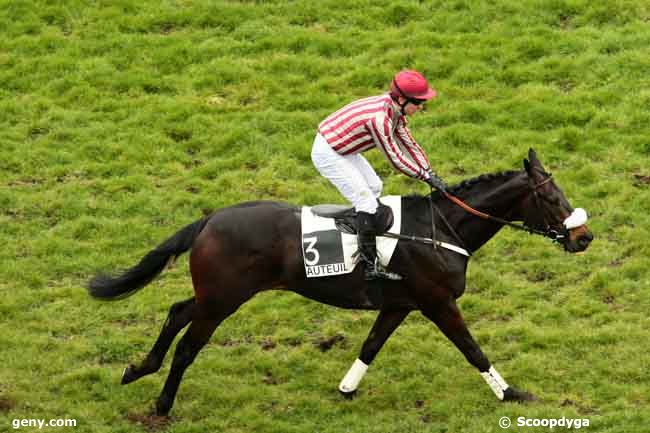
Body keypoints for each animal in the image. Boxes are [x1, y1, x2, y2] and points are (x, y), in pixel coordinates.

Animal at [87, 149, 592, 416]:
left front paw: (347, 389)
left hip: (216, 294)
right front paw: (510, 392)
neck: (441, 229)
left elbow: (371, 345)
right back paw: (162, 404)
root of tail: (210, 219)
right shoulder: (438, 302)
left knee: (176, 312)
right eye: (551, 197)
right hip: (223, 299)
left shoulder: (400, 304)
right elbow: (472, 349)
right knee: (189, 345)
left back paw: (138, 369)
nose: (583, 236)